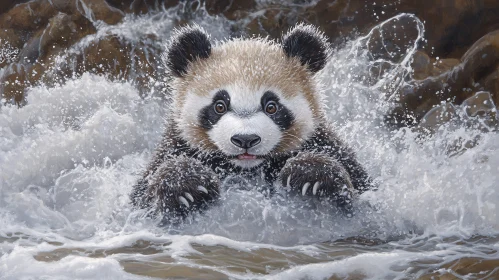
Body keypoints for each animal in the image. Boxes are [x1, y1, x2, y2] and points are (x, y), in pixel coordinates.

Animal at [131, 23, 374, 222]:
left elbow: (364, 193)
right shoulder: (176, 144)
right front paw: (186, 187)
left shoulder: (323, 140)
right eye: (220, 105)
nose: (245, 139)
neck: (248, 169)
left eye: (271, 106)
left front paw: (311, 176)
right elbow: (141, 200)